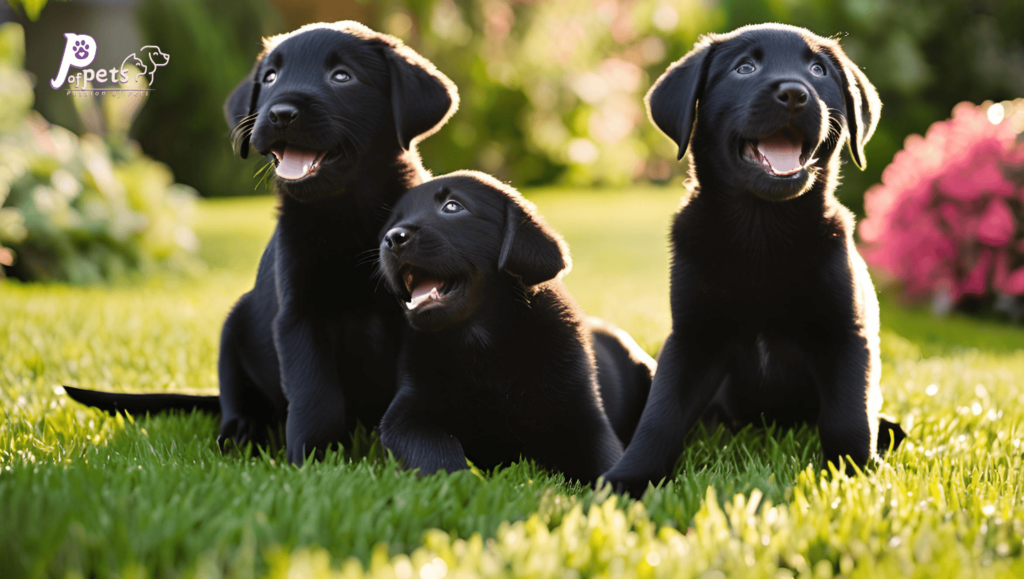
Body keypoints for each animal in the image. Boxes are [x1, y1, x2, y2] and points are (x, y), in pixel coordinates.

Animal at [66, 22, 458, 465]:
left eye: (342, 76)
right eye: (270, 78)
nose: (280, 113)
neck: (345, 211)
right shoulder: (298, 316)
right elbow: (315, 398)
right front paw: (312, 463)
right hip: (233, 329)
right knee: (237, 401)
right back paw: (241, 435)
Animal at [372, 171, 651, 479]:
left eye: (452, 207)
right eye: (392, 223)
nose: (392, 239)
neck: (481, 344)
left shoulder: (586, 419)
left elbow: (607, 464)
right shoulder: (407, 413)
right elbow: (436, 453)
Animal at [602, 23, 909, 495]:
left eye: (818, 70)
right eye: (744, 68)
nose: (795, 94)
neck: (762, 232)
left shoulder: (846, 332)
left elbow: (847, 416)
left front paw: (854, 474)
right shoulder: (691, 337)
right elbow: (660, 415)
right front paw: (629, 479)